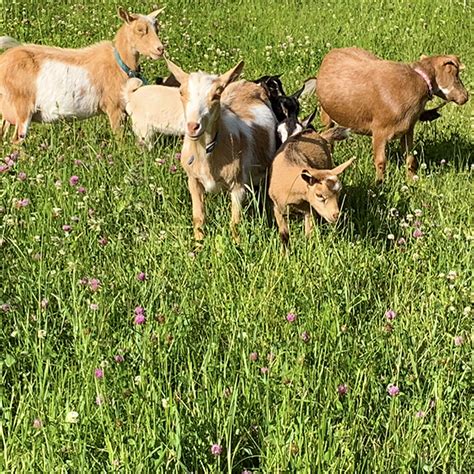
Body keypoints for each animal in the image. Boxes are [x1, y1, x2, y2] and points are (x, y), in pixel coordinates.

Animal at [0, 6, 165, 143]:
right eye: (140, 30)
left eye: (157, 29)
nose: (160, 49)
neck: (119, 64)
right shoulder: (114, 107)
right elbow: (120, 139)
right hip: (22, 107)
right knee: (16, 141)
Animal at [167, 58, 278, 243]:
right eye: (181, 92)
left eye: (216, 95)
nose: (193, 126)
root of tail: (249, 83)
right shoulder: (193, 180)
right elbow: (198, 217)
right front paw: (198, 244)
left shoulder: (238, 185)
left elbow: (235, 221)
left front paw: (237, 245)